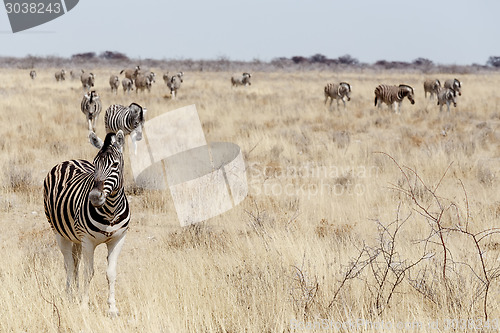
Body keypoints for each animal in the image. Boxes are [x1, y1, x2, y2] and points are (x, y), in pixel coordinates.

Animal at [43, 130, 129, 316]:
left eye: (115, 164)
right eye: (95, 165)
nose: (95, 197)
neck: (110, 210)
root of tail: (69, 160)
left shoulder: (118, 239)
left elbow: (111, 273)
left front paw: (112, 308)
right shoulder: (88, 241)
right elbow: (88, 272)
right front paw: (83, 305)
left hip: (76, 237)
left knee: (75, 262)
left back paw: (75, 293)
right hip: (59, 233)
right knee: (69, 264)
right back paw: (70, 295)